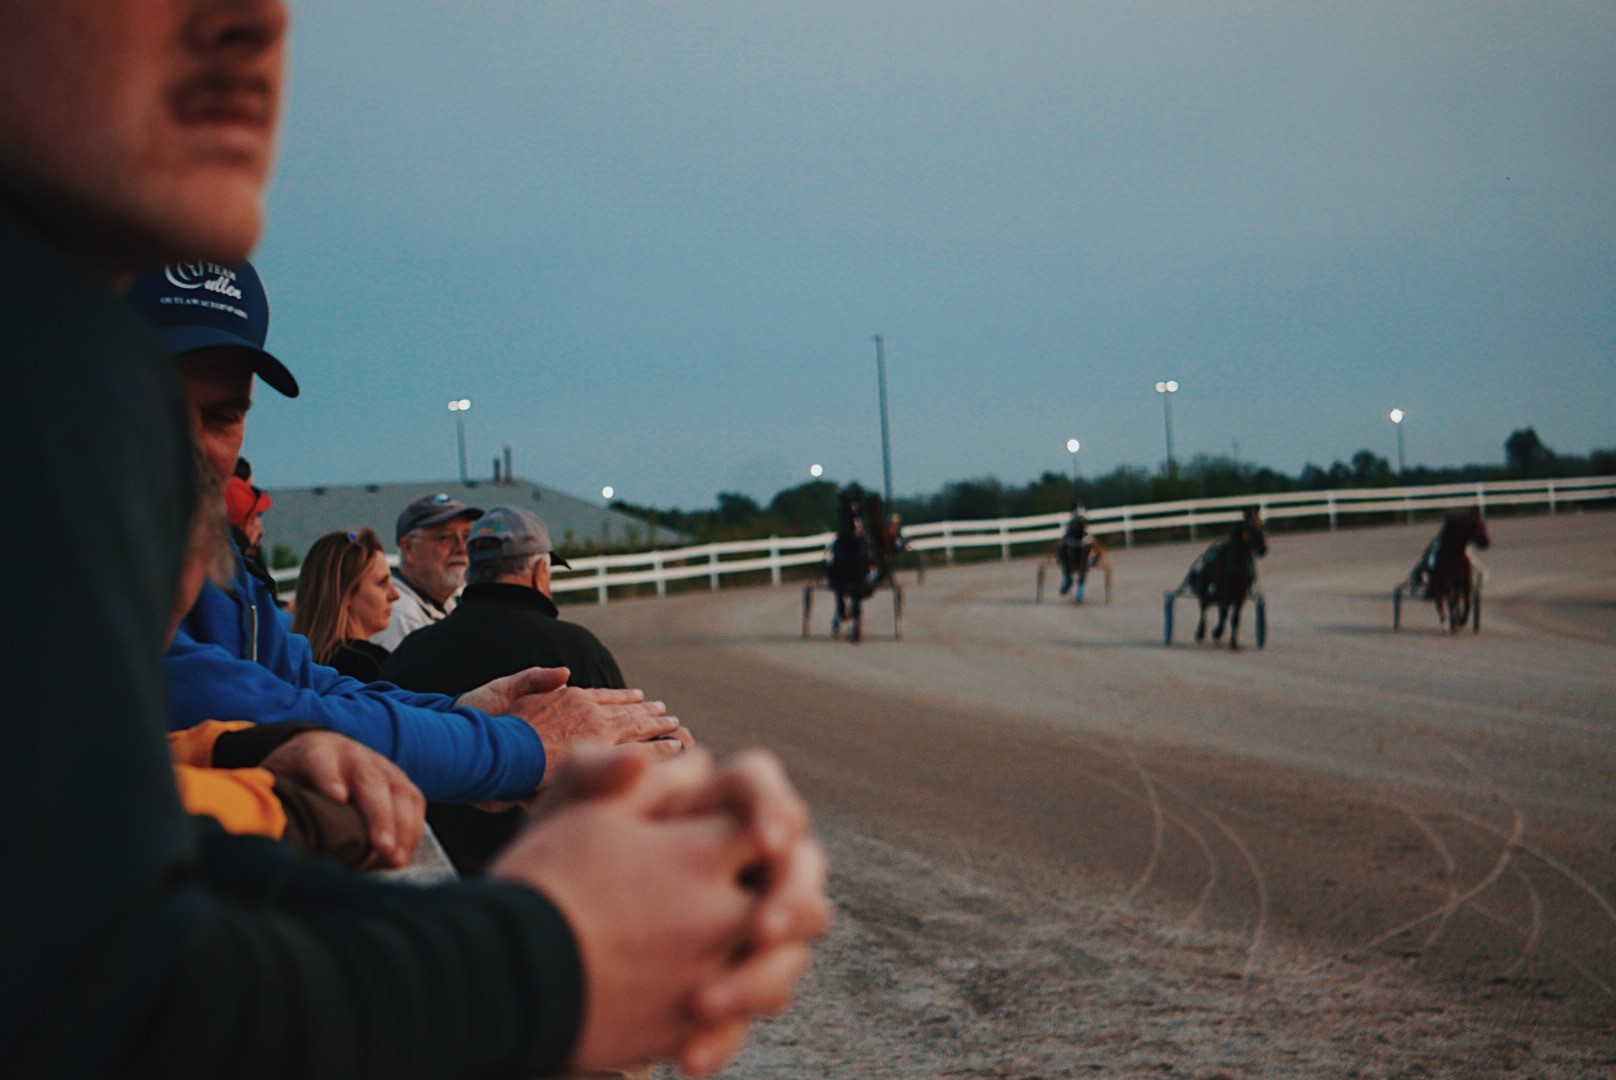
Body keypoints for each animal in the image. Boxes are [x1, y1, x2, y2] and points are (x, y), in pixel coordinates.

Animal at [1182, 507, 1266, 649]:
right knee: (1204, 606)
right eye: (1250, 528)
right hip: (1207, 587)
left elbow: (1235, 618)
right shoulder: (1225, 591)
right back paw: (1201, 632)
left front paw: (1233, 643)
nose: (1263, 549)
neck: (1237, 562)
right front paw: (1217, 632)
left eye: (1261, 525)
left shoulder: (1241, 594)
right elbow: (1224, 613)